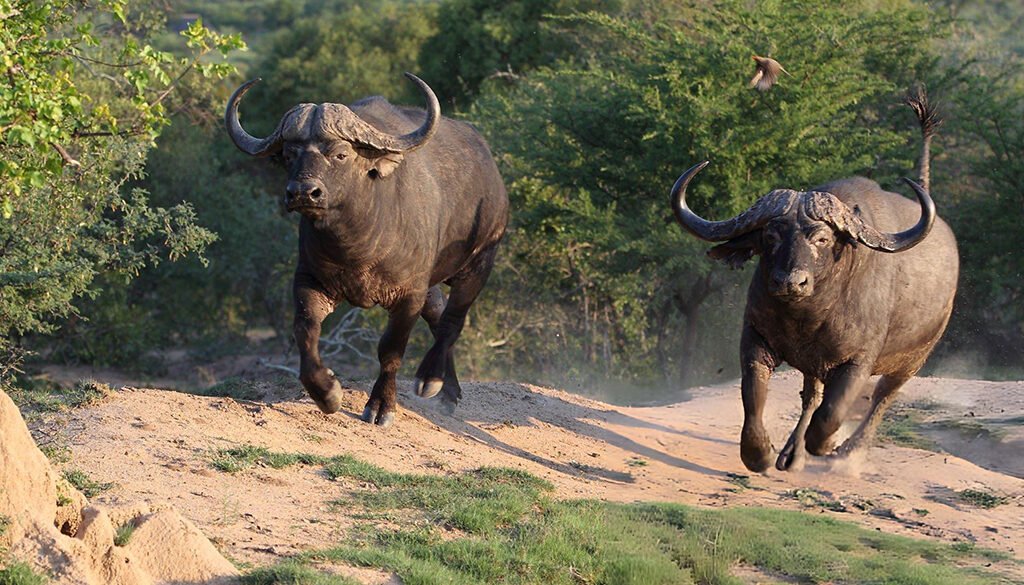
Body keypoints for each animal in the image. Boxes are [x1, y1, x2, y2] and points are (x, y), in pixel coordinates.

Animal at [225, 73, 509, 427]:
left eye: (341, 154)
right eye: (290, 155)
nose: (302, 192)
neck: (358, 242)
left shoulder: (408, 294)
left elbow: (390, 350)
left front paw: (381, 405)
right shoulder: (309, 280)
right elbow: (304, 331)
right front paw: (326, 392)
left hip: (480, 260)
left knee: (452, 320)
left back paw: (432, 379)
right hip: (431, 283)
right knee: (438, 314)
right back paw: (449, 391)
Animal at [669, 94, 958, 471]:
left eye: (822, 238)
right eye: (771, 236)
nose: (790, 281)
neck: (809, 317)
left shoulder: (857, 362)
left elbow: (832, 411)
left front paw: (825, 445)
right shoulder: (756, 339)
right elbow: (754, 396)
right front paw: (759, 453)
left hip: (913, 359)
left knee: (882, 397)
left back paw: (848, 450)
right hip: (816, 365)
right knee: (811, 397)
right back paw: (791, 455)